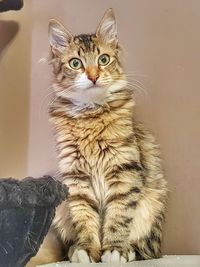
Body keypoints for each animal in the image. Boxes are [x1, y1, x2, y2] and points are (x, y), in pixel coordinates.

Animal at [26, 7, 167, 266]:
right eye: (75, 63)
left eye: (103, 59)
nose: (93, 76)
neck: (90, 114)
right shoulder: (76, 179)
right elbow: (84, 219)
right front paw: (88, 251)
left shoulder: (124, 170)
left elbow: (118, 217)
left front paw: (114, 251)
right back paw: (73, 251)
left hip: (152, 206)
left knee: (146, 248)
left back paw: (129, 251)